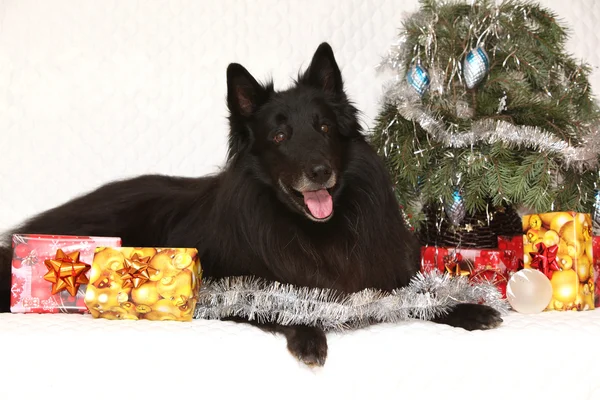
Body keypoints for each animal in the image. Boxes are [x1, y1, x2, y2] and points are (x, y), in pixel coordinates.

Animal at [0, 43, 502, 366]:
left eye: (323, 128)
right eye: (279, 136)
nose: (319, 171)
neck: (318, 232)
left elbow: (422, 296)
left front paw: (468, 309)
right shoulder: (230, 288)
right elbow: (277, 303)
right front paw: (308, 334)